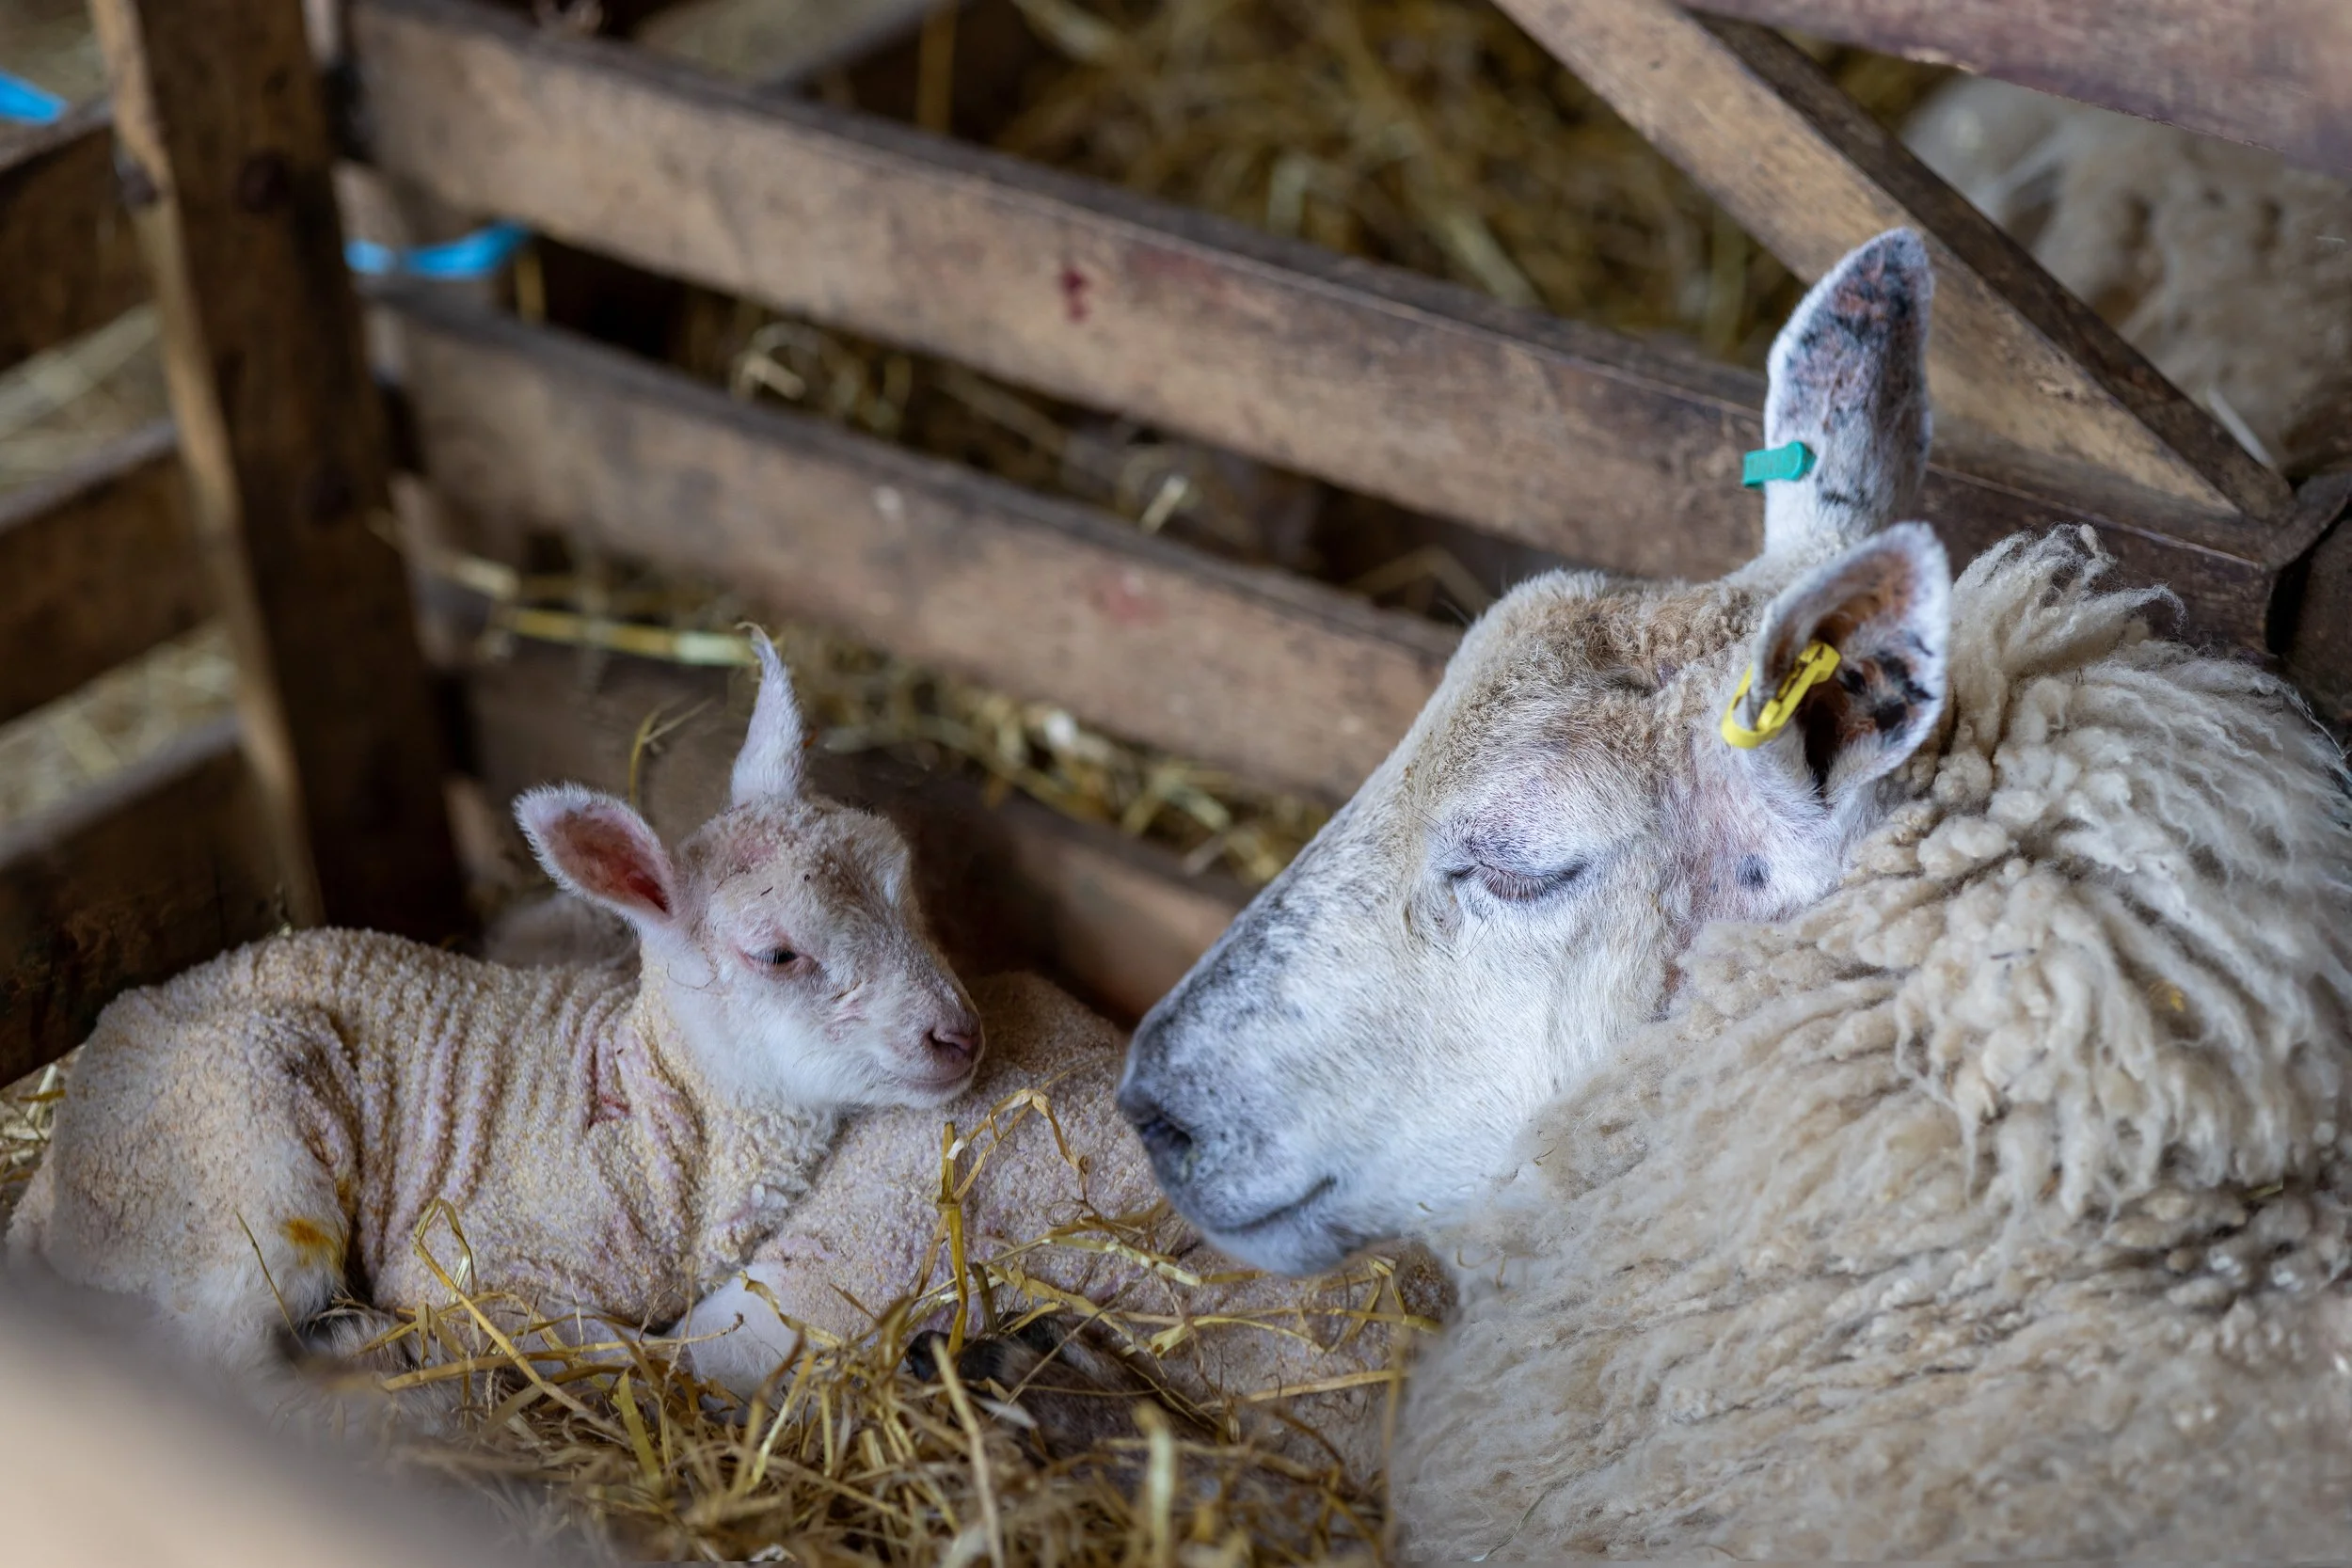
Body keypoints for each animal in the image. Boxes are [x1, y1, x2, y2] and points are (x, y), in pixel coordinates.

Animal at [7, 633, 985, 1398]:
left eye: (905, 880)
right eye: (778, 955)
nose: (958, 1034)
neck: (653, 1122)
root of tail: (50, 1175)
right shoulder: (473, 1258)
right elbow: (632, 1356)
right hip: (238, 1156)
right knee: (217, 1353)